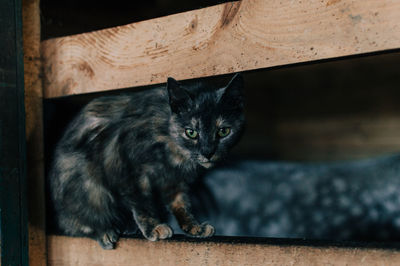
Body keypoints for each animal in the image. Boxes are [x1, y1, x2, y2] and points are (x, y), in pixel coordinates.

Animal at [48, 73, 245, 249]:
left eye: (223, 131)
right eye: (191, 132)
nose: (208, 152)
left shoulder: (174, 181)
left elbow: (181, 204)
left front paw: (194, 227)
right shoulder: (128, 168)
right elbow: (142, 203)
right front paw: (154, 228)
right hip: (88, 186)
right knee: (75, 223)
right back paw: (104, 231)